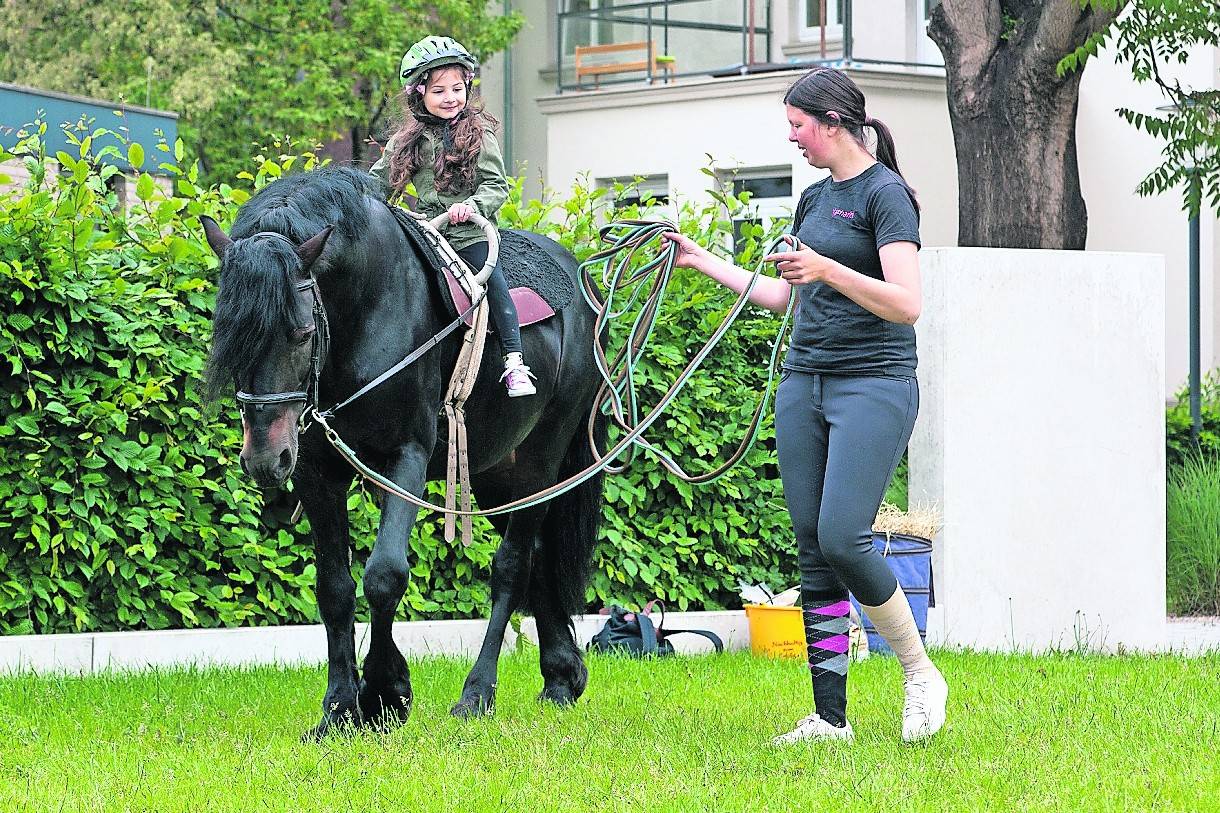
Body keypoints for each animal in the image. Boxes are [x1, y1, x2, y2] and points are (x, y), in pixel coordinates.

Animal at [199, 166, 606, 739]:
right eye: (229, 334)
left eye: (302, 334)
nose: (265, 459)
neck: (368, 310)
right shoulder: (318, 473)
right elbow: (334, 588)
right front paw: (338, 709)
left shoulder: (405, 458)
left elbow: (385, 575)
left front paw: (384, 694)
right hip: (497, 477)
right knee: (538, 558)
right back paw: (561, 677)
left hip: (541, 463)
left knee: (511, 567)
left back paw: (477, 693)